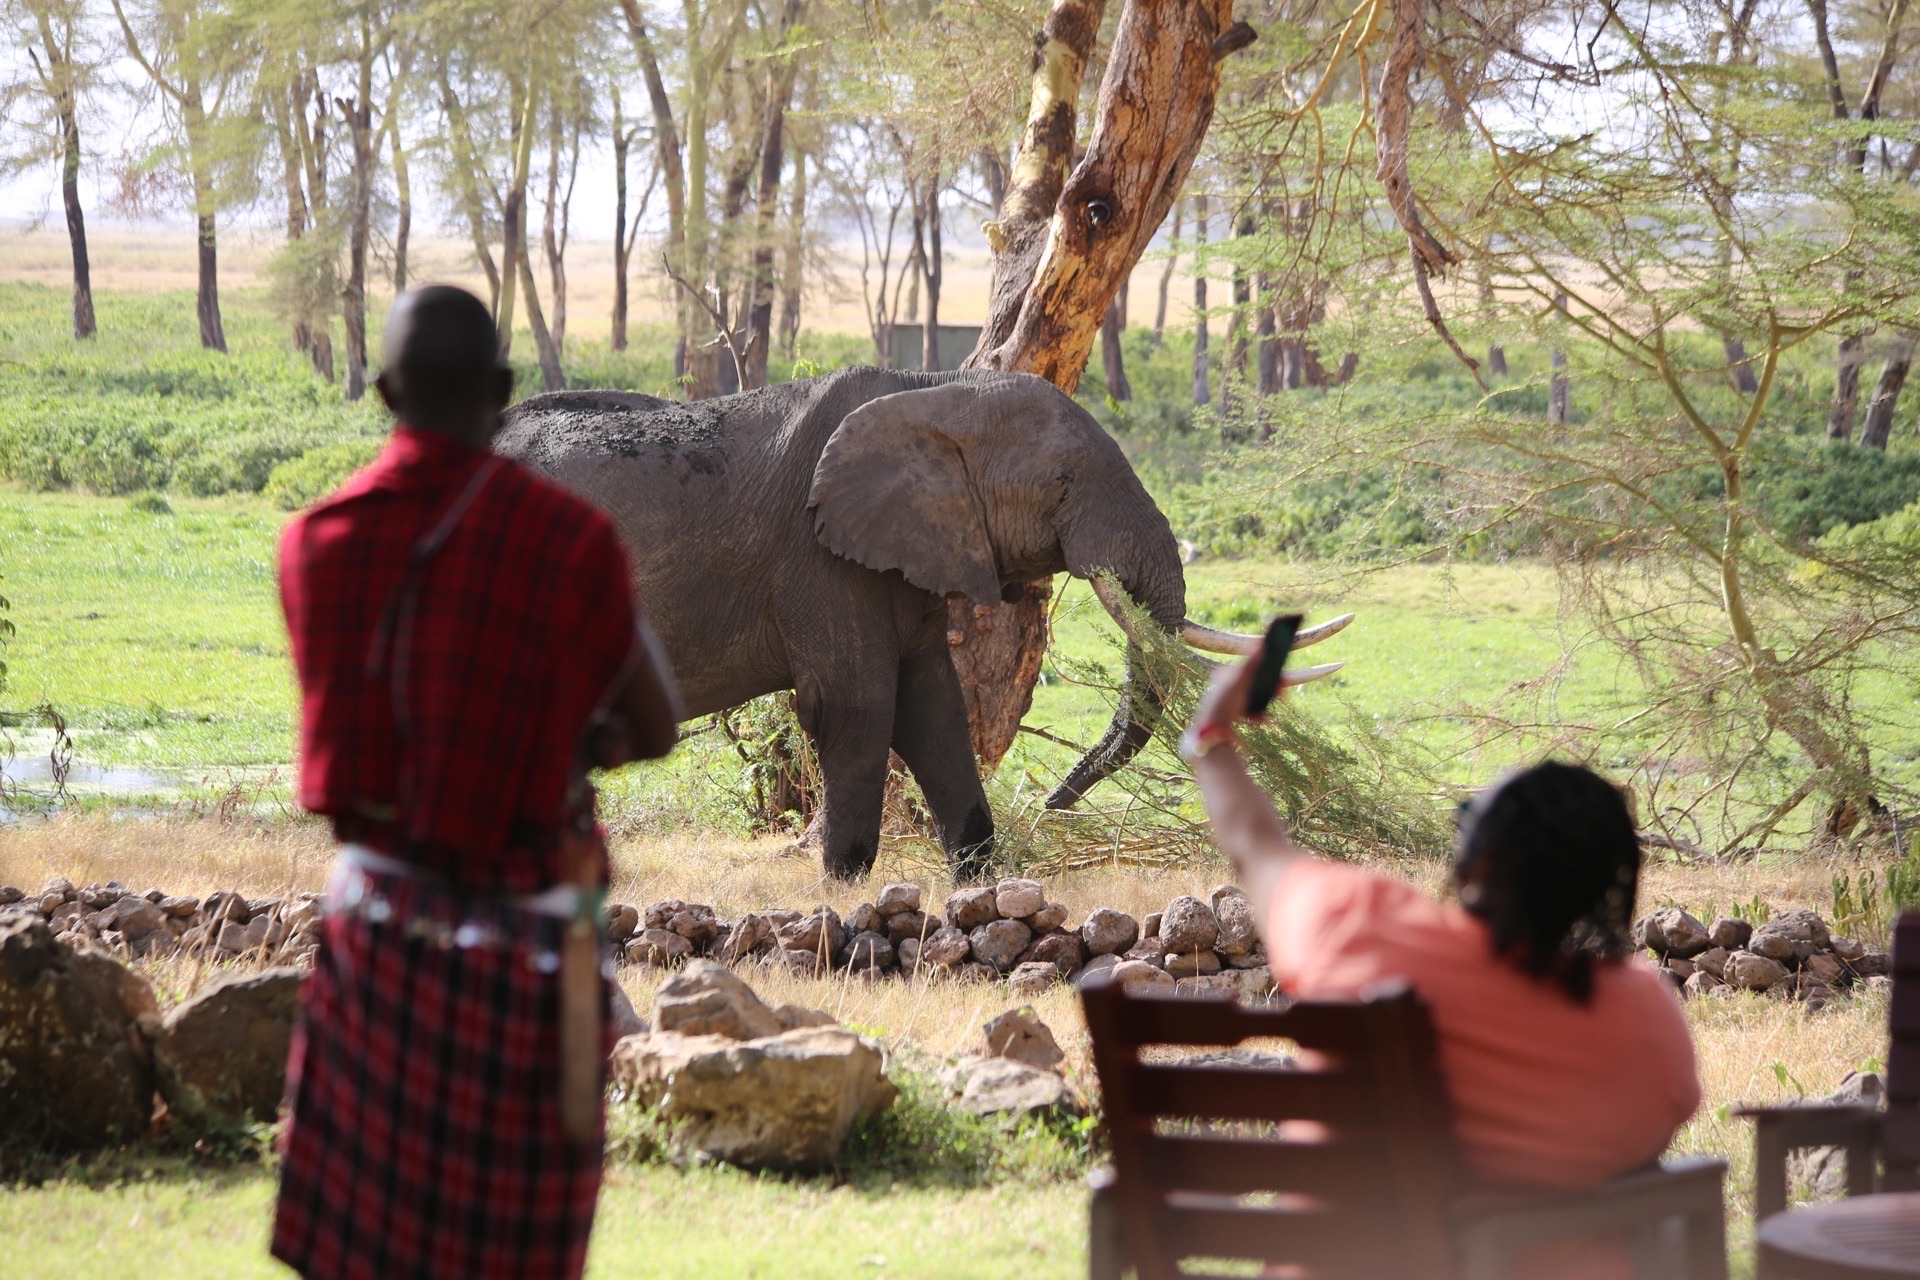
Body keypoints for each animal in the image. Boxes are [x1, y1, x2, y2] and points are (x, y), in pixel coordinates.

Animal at [494, 366, 1346, 880]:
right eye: (1063, 481)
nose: (1055, 802)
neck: (936, 391)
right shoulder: (823, 560)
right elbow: (861, 708)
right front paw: (843, 888)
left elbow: (934, 708)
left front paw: (978, 880)